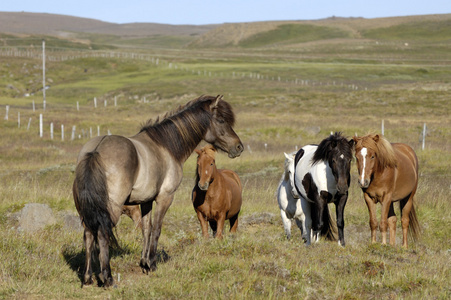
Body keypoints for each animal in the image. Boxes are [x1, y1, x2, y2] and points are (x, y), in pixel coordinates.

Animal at [73, 95, 244, 288]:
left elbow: (146, 229)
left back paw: (87, 278)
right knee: (102, 234)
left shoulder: (145, 201)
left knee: (88, 235)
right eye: (221, 120)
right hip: (111, 209)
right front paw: (152, 264)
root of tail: (95, 151)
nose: (239, 147)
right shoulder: (165, 198)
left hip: (86, 210)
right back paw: (108, 278)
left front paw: (143, 263)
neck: (166, 146)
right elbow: (156, 229)